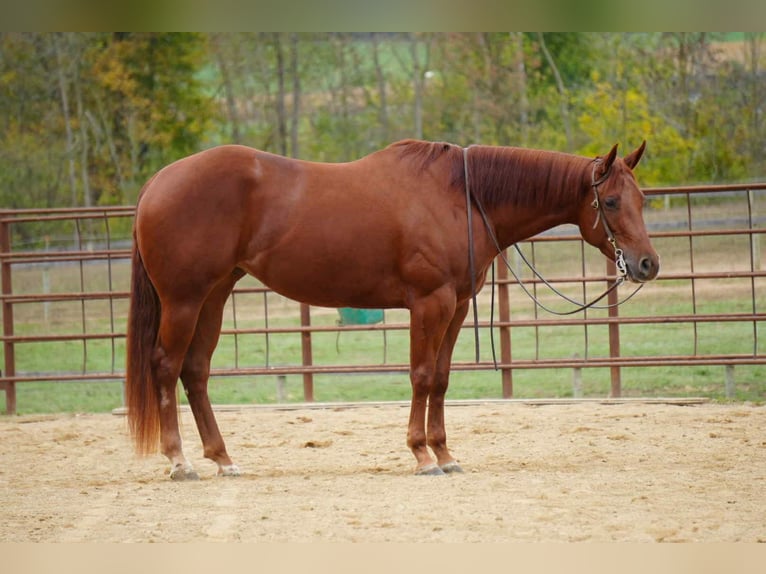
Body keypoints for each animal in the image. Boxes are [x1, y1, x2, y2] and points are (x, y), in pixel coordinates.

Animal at [125, 139, 659, 480]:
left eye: (642, 198)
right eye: (611, 201)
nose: (647, 264)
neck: (463, 197)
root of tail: (157, 182)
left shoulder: (456, 306)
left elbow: (440, 379)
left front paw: (445, 454)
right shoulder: (430, 303)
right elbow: (421, 376)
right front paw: (421, 456)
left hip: (214, 296)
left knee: (195, 371)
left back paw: (222, 459)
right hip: (184, 300)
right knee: (166, 366)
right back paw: (180, 461)